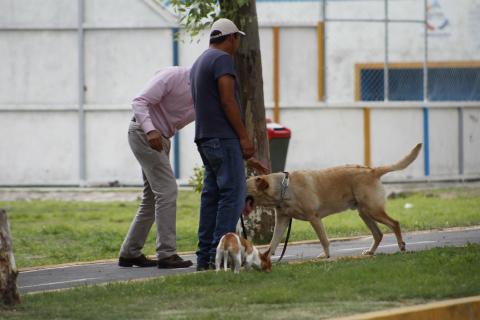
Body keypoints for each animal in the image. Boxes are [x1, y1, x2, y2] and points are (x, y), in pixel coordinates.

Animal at [246, 144, 422, 258]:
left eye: (245, 187)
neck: (284, 187)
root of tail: (372, 170)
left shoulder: (314, 218)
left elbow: (324, 240)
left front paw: (326, 255)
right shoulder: (282, 220)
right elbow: (273, 242)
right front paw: (266, 257)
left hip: (373, 210)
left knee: (394, 223)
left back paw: (401, 245)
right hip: (364, 213)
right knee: (378, 234)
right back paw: (371, 252)